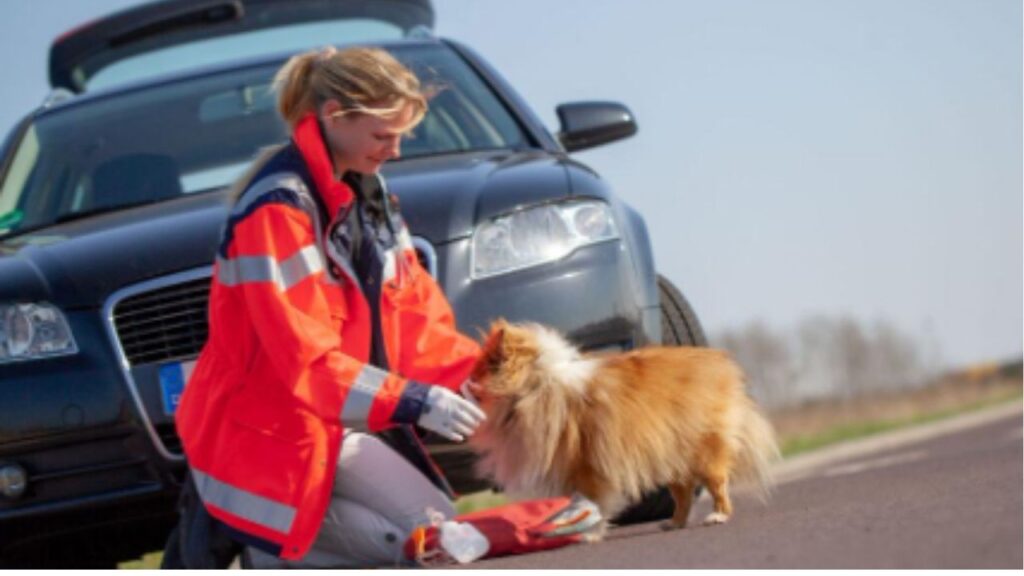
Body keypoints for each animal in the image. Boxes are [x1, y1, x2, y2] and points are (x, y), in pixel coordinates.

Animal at [468, 317, 778, 532]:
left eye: (478, 370)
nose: (465, 380)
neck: (534, 385)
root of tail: (719, 362)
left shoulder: (584, 463)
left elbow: (590, 499)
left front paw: (589, 527)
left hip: (703, 450)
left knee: (717, 483)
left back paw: (718, 515)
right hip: (669, 454)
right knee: (683, 493)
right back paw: (674, 523)